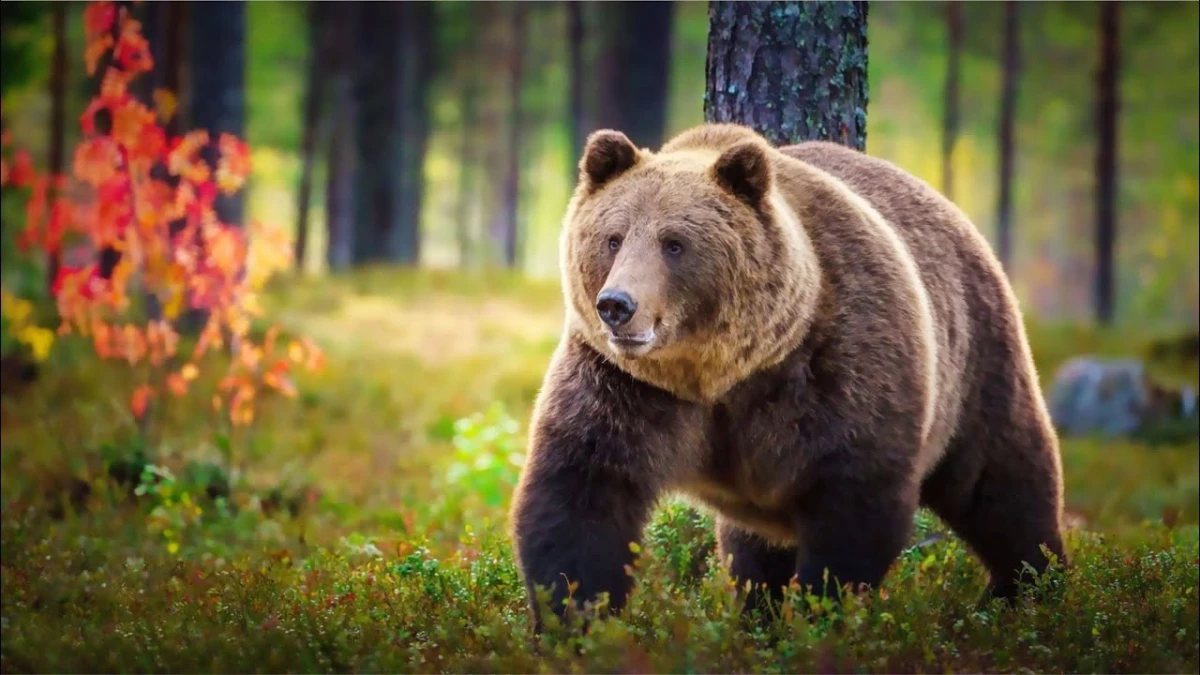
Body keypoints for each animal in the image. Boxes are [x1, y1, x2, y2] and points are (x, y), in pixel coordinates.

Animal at [509, 122, 1068, 632]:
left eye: (674, 243)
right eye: (613, 237)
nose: (617, 305)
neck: (722, 373)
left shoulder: (838, 367)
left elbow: (853, 506)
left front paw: (823, 613)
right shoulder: (627, 388)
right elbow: (582, 495)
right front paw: (572, 623)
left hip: (975, 357)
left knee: (1002, 482)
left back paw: (1028, 590)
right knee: (751, 550)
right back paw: (759, 612)